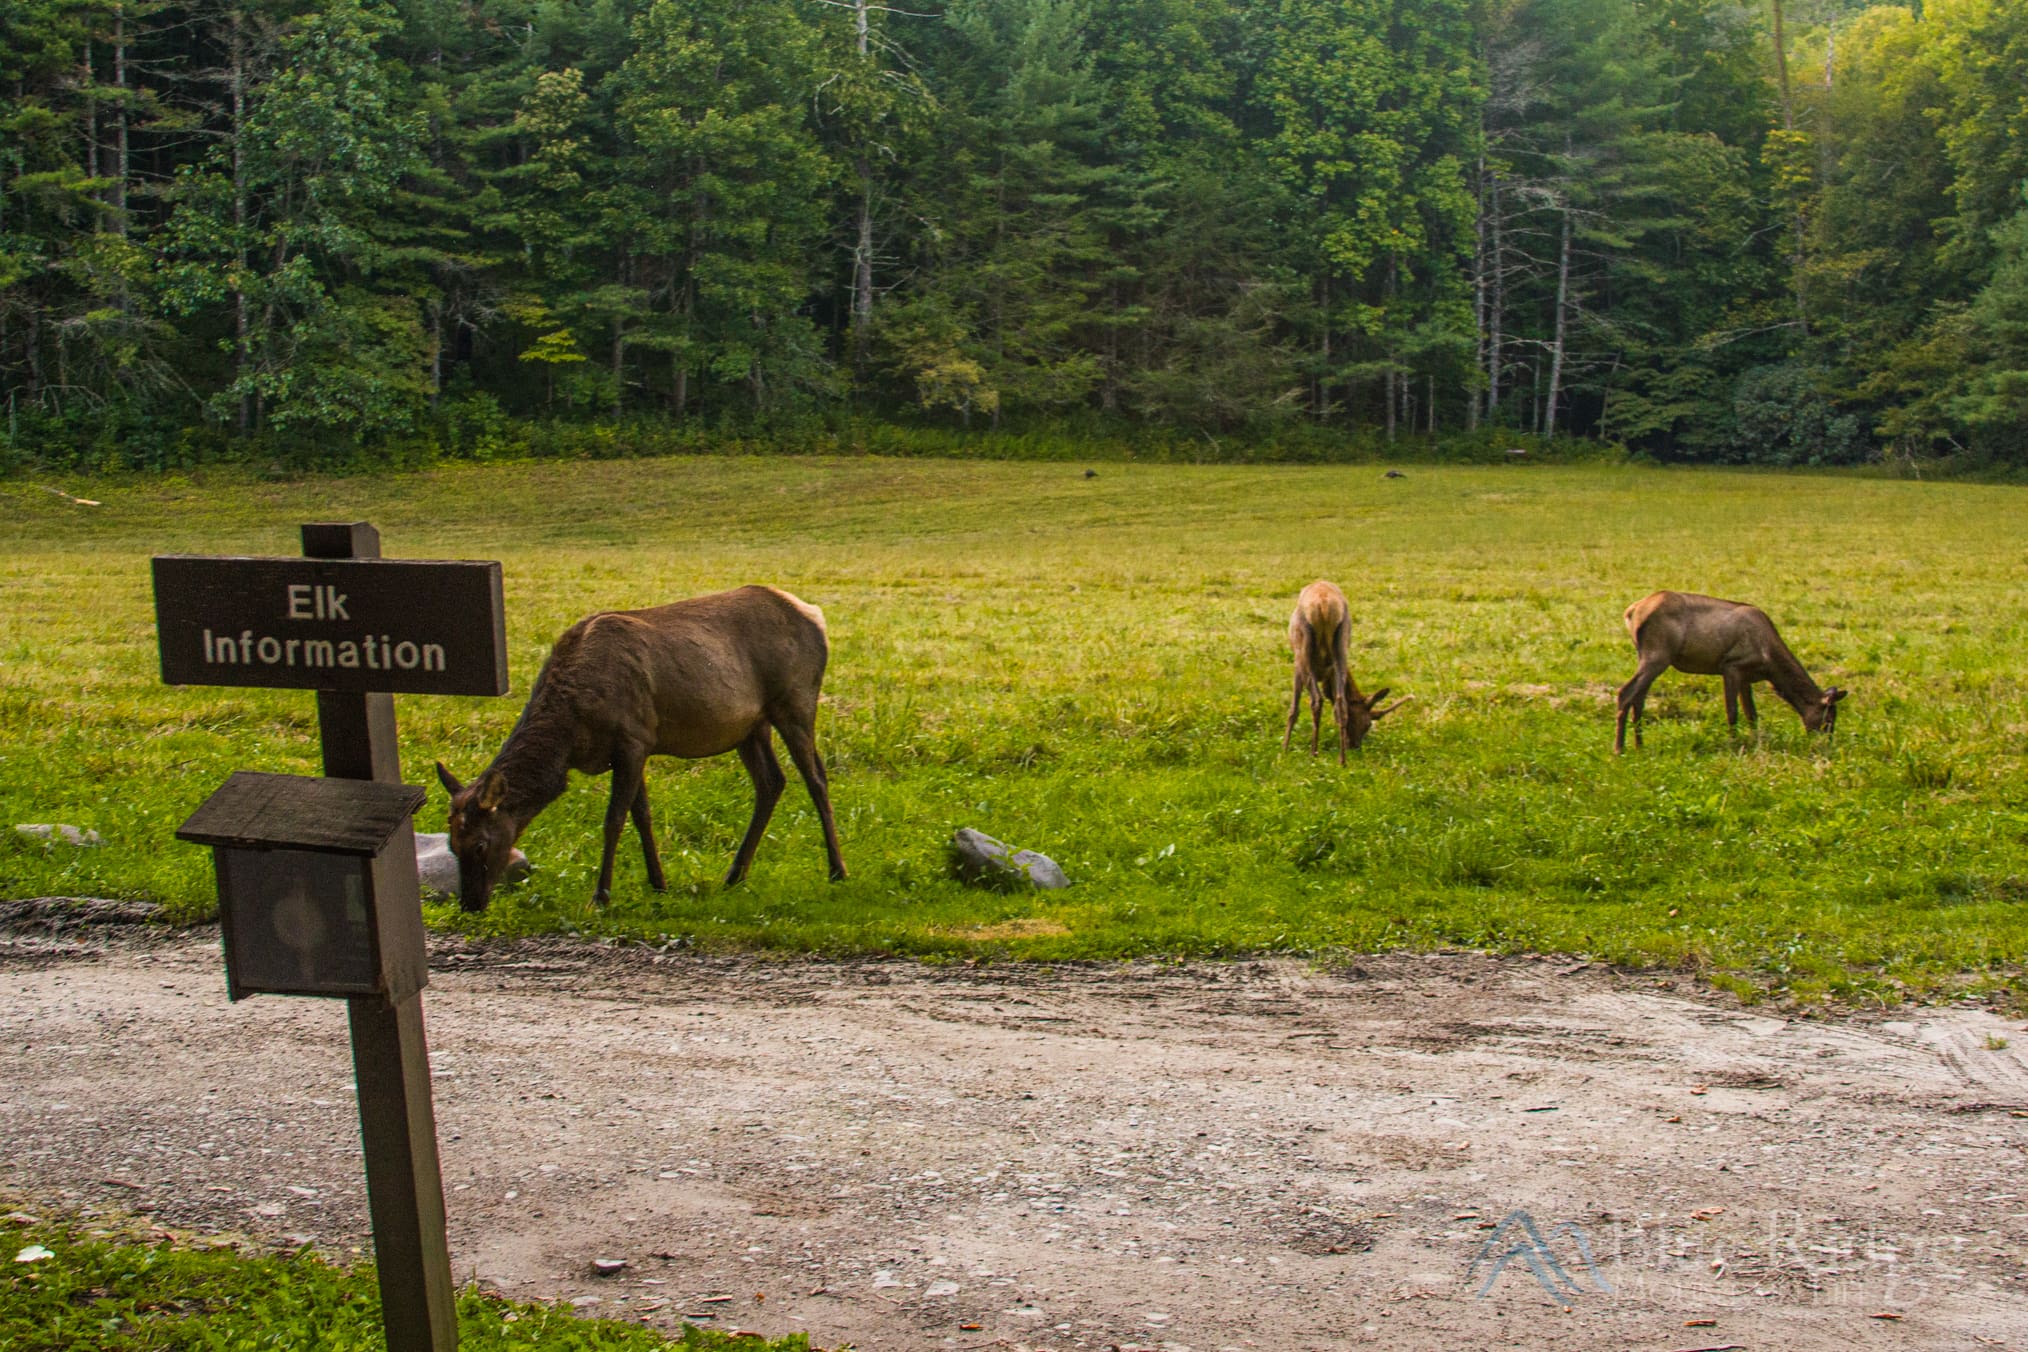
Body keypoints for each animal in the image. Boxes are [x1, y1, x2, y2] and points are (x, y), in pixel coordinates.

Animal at [435, 585, 846, 912]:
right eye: (452, 844)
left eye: (481, 845)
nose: (470, 904)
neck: (570, 736)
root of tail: (816, 616)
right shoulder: (633, 748)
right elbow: (642, 815)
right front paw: (659, 883)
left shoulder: (632, 738)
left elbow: (614, 819)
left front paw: (601, 895)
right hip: (749, 727)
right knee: (771, 782)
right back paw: (734, 874)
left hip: (795, 701)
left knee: (816, 779)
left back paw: (837, 870)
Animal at [1282, 579, 1407, 764]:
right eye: (1367, 724)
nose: (1354, 746)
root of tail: (1324, 604)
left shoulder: (1298, 666)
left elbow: (1293, 709)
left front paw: (1283, 749)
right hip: (1341, 643)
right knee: (1340, 702)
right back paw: (1342, 760)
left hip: (1303, 650)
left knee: (1316, 700)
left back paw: (1313, 753)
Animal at [1615, 590, 1847, 754]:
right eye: (1828, 718)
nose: (1827, 744)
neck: (1770, 665)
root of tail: (1631, 612)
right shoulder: (1731, 666)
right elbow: (1732, 711)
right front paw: (1734, 744)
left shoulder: (1746, 677)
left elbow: (1752, 714)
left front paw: (1756, 742)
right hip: (1658, 654)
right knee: (1625, 692)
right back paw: (1619, 748)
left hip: (1647, 656)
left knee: (1639, 699)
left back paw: (1639, 745)